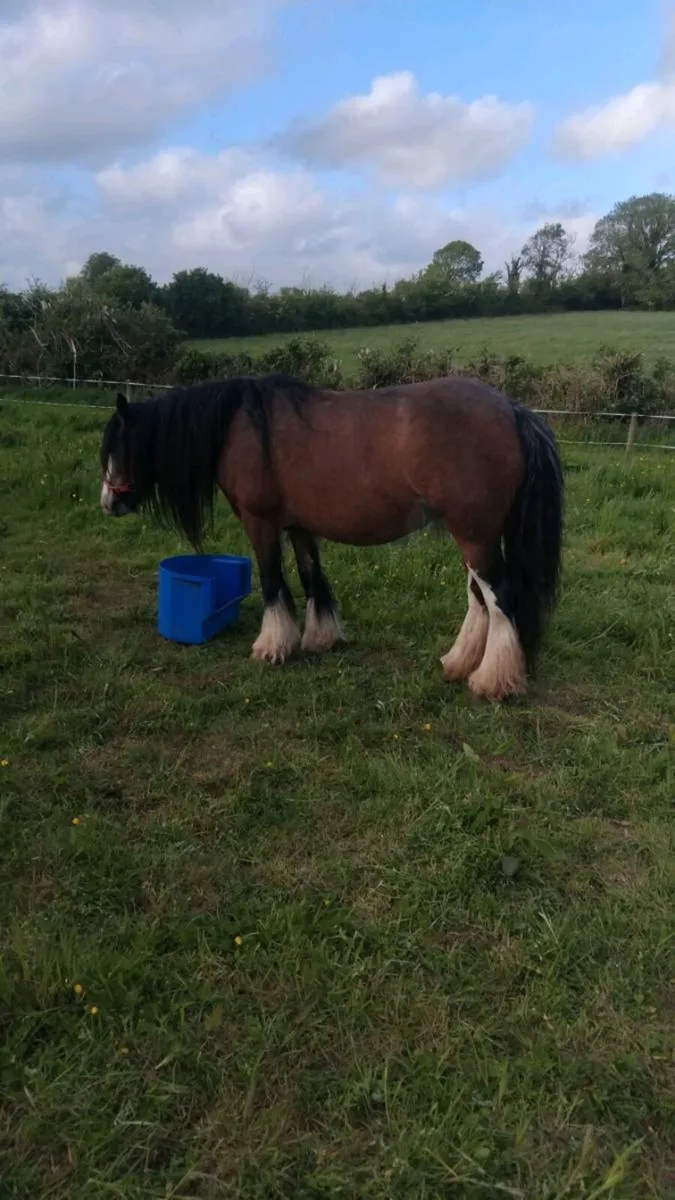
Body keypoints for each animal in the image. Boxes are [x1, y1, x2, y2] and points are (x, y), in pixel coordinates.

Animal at [99, 371, 564, 700]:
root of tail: (512, 409)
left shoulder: (260, 523)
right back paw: (458, 663)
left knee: (499, 597)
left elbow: (273, 581)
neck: (239, 426)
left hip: (474, 534)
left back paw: (492, 681)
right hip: (473, 535)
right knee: (479, 598)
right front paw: (320, 638)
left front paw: (272, 646)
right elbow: (312, 577)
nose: (108, 503)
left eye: (117, 447)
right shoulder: (300, 527)